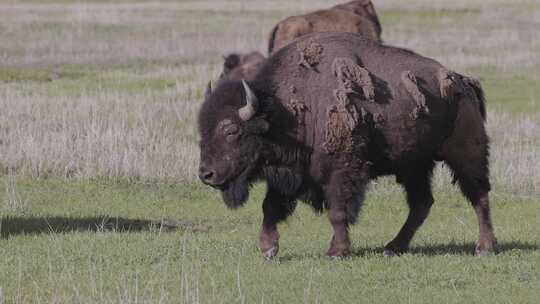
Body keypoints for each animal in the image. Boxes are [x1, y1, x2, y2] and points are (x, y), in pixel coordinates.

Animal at [199, 31, 498, 258]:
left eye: (231, 130)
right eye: (201, 129)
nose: (206, 174)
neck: (281, 112)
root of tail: (462, 81)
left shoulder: (341, 170)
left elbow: (338, 211)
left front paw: (336, 252)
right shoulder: (288, 173)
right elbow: (270, 207)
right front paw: (268, 249)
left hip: (466, 155)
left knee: (478, 196)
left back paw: (484, 247)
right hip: (415, 164)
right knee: (421, 203)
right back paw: (393, 247)